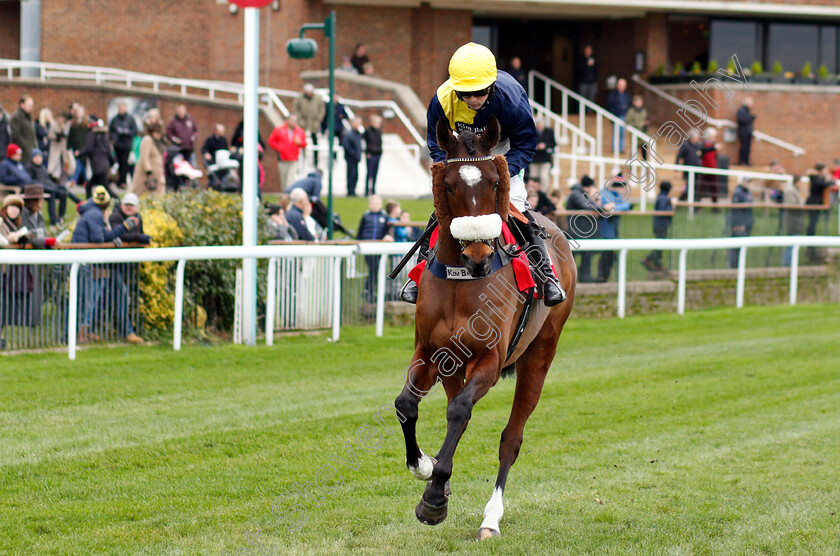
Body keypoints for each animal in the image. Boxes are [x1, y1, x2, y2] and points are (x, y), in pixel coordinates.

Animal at [394, 116, 576, 540]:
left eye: (494, 182)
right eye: (448, 185)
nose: (478, 254)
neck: (462, 281)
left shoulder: (491, 359)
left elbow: (461, 411)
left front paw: (433, 498)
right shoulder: (430, 352)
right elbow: (406, 404)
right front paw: (425, 467)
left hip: (540, 354)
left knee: (511, 437)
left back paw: (491, 518)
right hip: (453, 365)